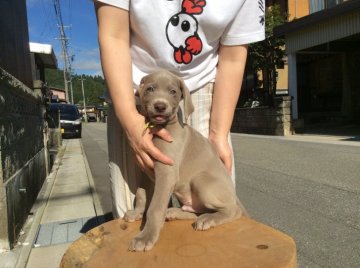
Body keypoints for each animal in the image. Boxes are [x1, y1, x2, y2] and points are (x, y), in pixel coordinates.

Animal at [124, 69, 248, 251]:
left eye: (173, 92)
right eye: (150, 89)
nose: (160, 106)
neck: (158, 129)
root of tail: (234, 194)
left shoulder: (166, 172)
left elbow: (155, 207)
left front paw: (145, 237)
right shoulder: (145, 170)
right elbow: (140, 195)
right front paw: (137, 213)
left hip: (201, 181)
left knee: (232, 210)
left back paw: (208, 219)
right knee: (197, 211)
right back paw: (175, 212)